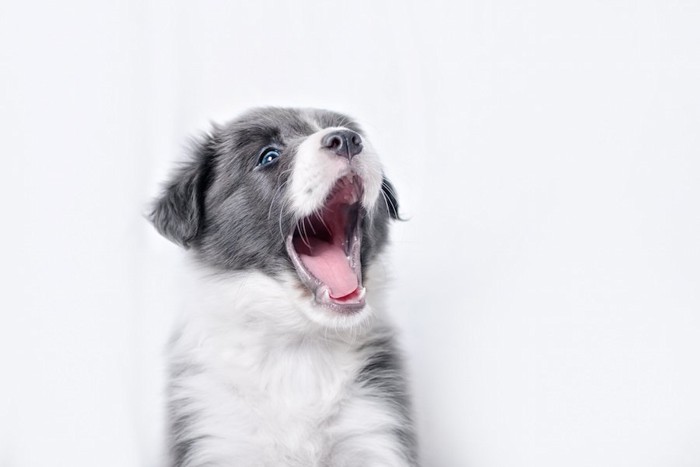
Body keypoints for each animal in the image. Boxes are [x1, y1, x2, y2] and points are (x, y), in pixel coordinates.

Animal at [149, 107, 416, 467]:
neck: (298, 346)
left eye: (349, 131)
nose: (347, 139)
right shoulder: (215, 434)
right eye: (268, 156)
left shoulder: (374, 430)